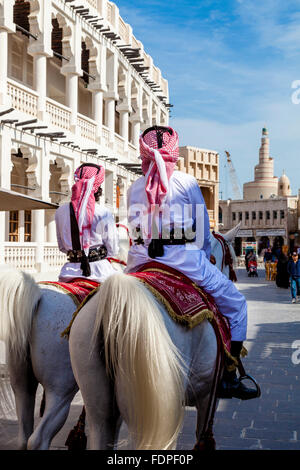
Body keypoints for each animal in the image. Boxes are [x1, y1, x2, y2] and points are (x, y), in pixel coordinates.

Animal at [0, 224, 239, 452]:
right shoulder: (206, 396)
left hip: (24, 384)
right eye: (231, 258)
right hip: (63, 390)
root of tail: (39, 297)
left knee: (25, 434)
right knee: (38, 438)